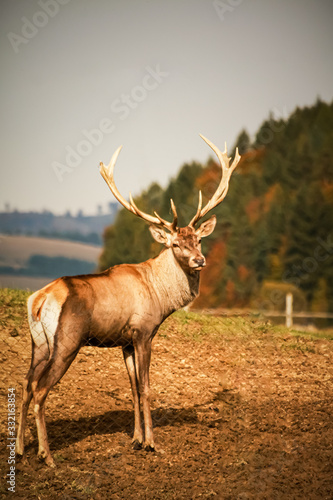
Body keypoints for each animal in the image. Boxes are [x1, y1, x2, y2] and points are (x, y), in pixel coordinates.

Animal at [16, 135, 239, 466]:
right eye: (175, 244)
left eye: (198, 239)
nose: (199, 261)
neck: (160, 296)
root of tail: (40, 299)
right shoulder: (144, 331)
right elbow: (145, 387)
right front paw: (152, 444)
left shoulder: (125, 341)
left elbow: (132, 388)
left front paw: (136, 440)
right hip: (67, 340)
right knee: (41, 388)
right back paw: (47, 455)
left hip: (38, 343)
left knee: (26, 383)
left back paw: (19, 449)